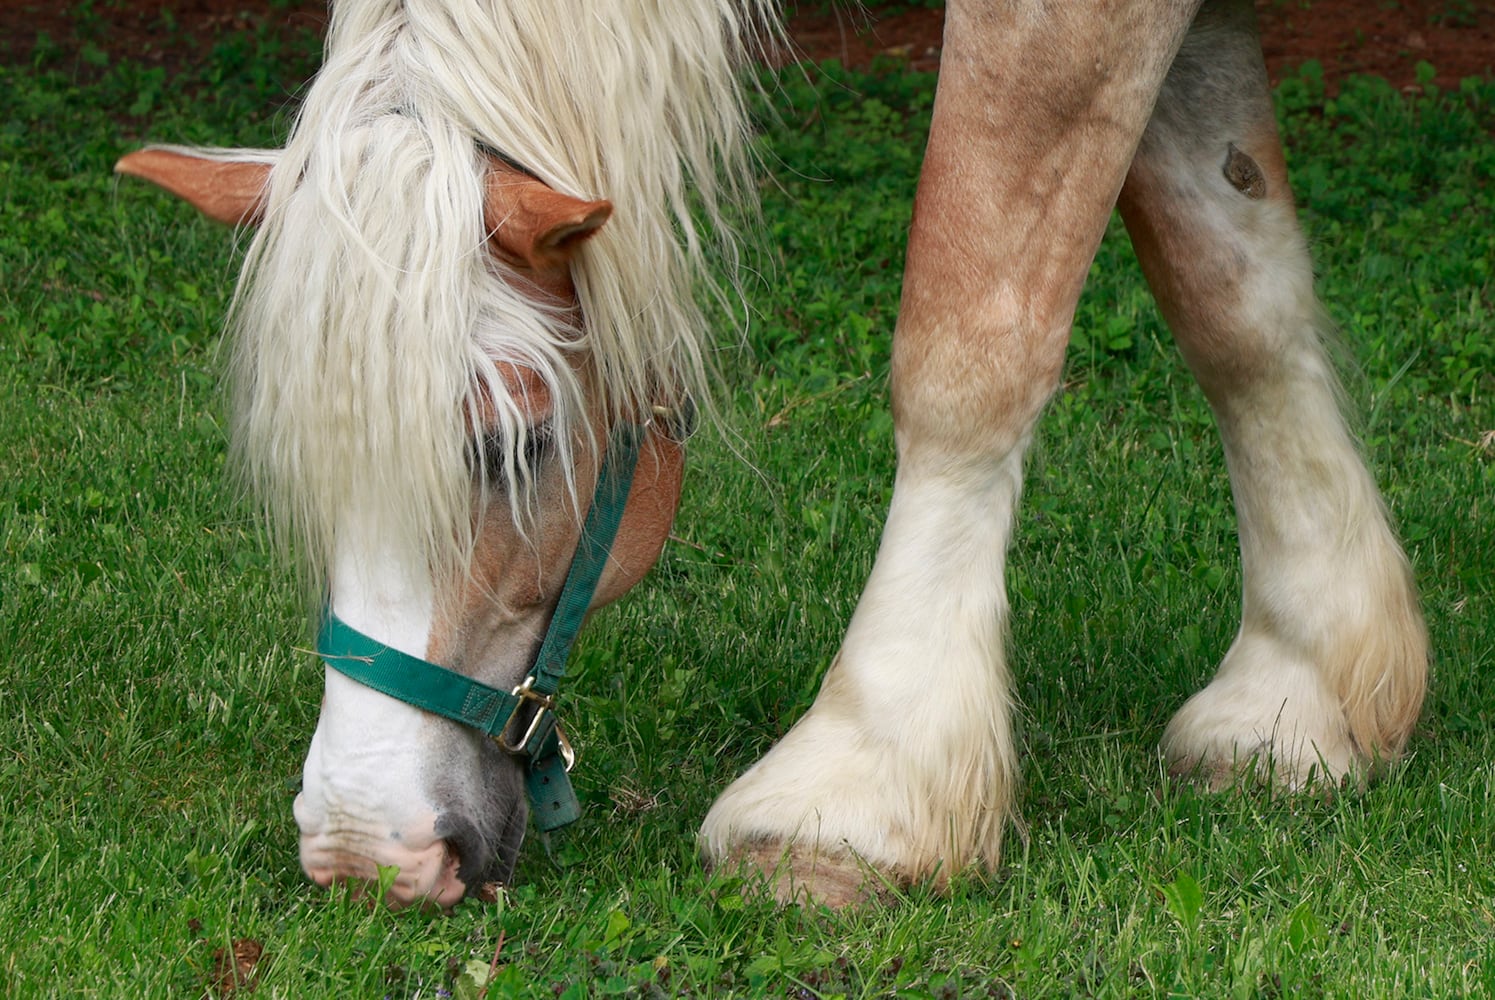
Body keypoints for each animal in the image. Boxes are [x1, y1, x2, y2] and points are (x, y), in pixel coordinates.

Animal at [116, 0, 1423, 908]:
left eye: (519, 442)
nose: (362, 849)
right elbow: (1229, 288)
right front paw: (1301, 687)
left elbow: (969, 334)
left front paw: (860, 786)